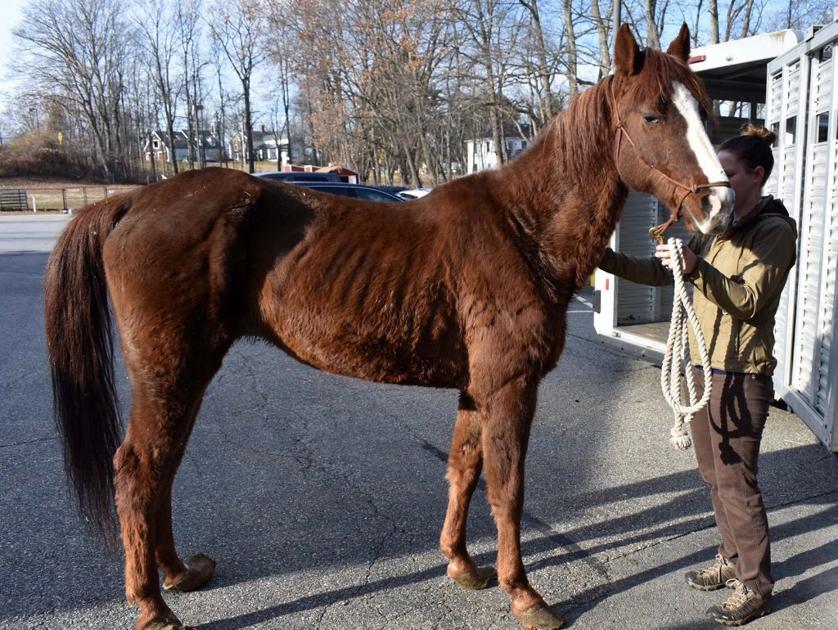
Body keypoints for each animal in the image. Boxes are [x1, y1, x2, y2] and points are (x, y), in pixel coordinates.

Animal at [45, 24, 733, 630]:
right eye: (653, 116)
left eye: (705, 111)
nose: (719, 206)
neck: (522, 229)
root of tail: (132, 202)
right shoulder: (510, 386)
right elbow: (507, 488)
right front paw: (524, 594)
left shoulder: (476, 388)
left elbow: (464, 469)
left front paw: (462, 565)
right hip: (170, 373)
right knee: (138, 469)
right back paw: (152, 605)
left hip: (185, 375)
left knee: (162, 467)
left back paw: (179, 574)